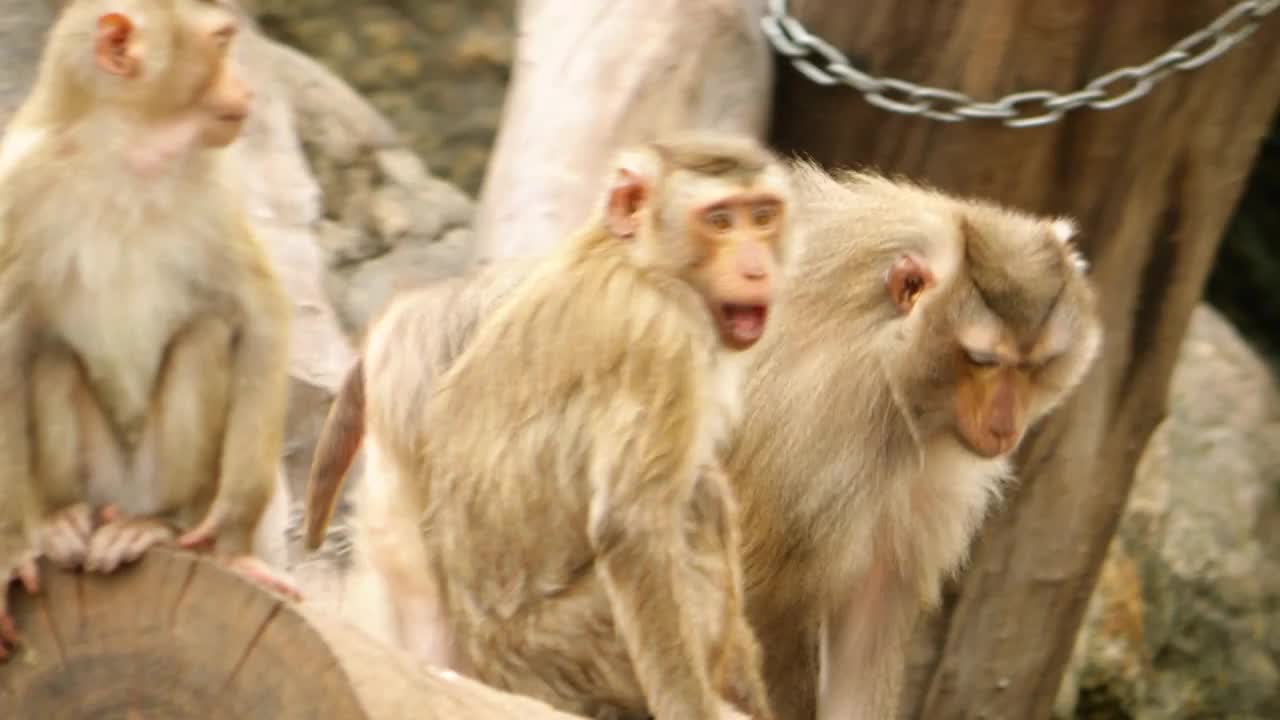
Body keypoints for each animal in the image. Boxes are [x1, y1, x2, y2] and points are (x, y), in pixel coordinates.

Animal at [0, 0, 296, 661]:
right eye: (221, 42)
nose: (249, 88)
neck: (123, 151)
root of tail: (124, 496)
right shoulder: (15, 189)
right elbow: (6, 346)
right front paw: (11, 550)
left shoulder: (214, 186)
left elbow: (258, 314)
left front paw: (233, 537)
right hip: (102, 473)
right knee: (50, 359)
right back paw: (64, 518)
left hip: (155, 473)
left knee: (202, 336)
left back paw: (155, 523)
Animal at [305, 133, 793, 712]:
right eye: (719, 221)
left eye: (762, 216)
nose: (756, 268)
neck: (637, 260)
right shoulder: (660, 337)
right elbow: (633, 528)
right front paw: (689, 709)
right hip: (568, 651)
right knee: (696, 503)